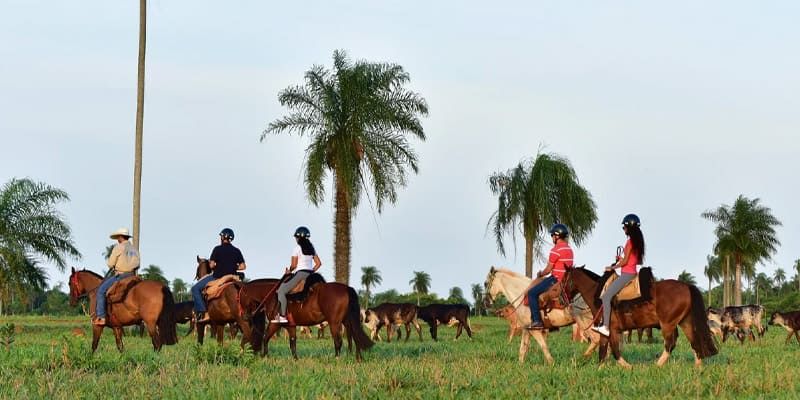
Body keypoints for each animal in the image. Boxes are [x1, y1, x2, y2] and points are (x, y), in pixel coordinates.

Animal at [238, 274, 376, 360]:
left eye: (239, 298)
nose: (244, 317)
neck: (273, 295)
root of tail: (346, 288)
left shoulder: (274, 323)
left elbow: (266, 338)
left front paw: (264, 356)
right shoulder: (291, 326)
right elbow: (292, 343)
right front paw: (295, 359)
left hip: (334, 323)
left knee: (338, 341)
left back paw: (337, 358)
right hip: (347, 321)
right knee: (354, 337)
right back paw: (357, 358)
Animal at [564, 268, 720, 368]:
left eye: (564, 279)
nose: (562, 298)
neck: (600, 295)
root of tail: (687, 286)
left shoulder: (612, 329)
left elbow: (613, 349)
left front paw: (626, 366)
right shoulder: (607, 330)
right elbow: (604, 349)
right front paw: (601, 368)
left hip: (668, 324)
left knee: (671, 343)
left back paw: (657, 365)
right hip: (684, 321)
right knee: (694, 341)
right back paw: (698, 367)